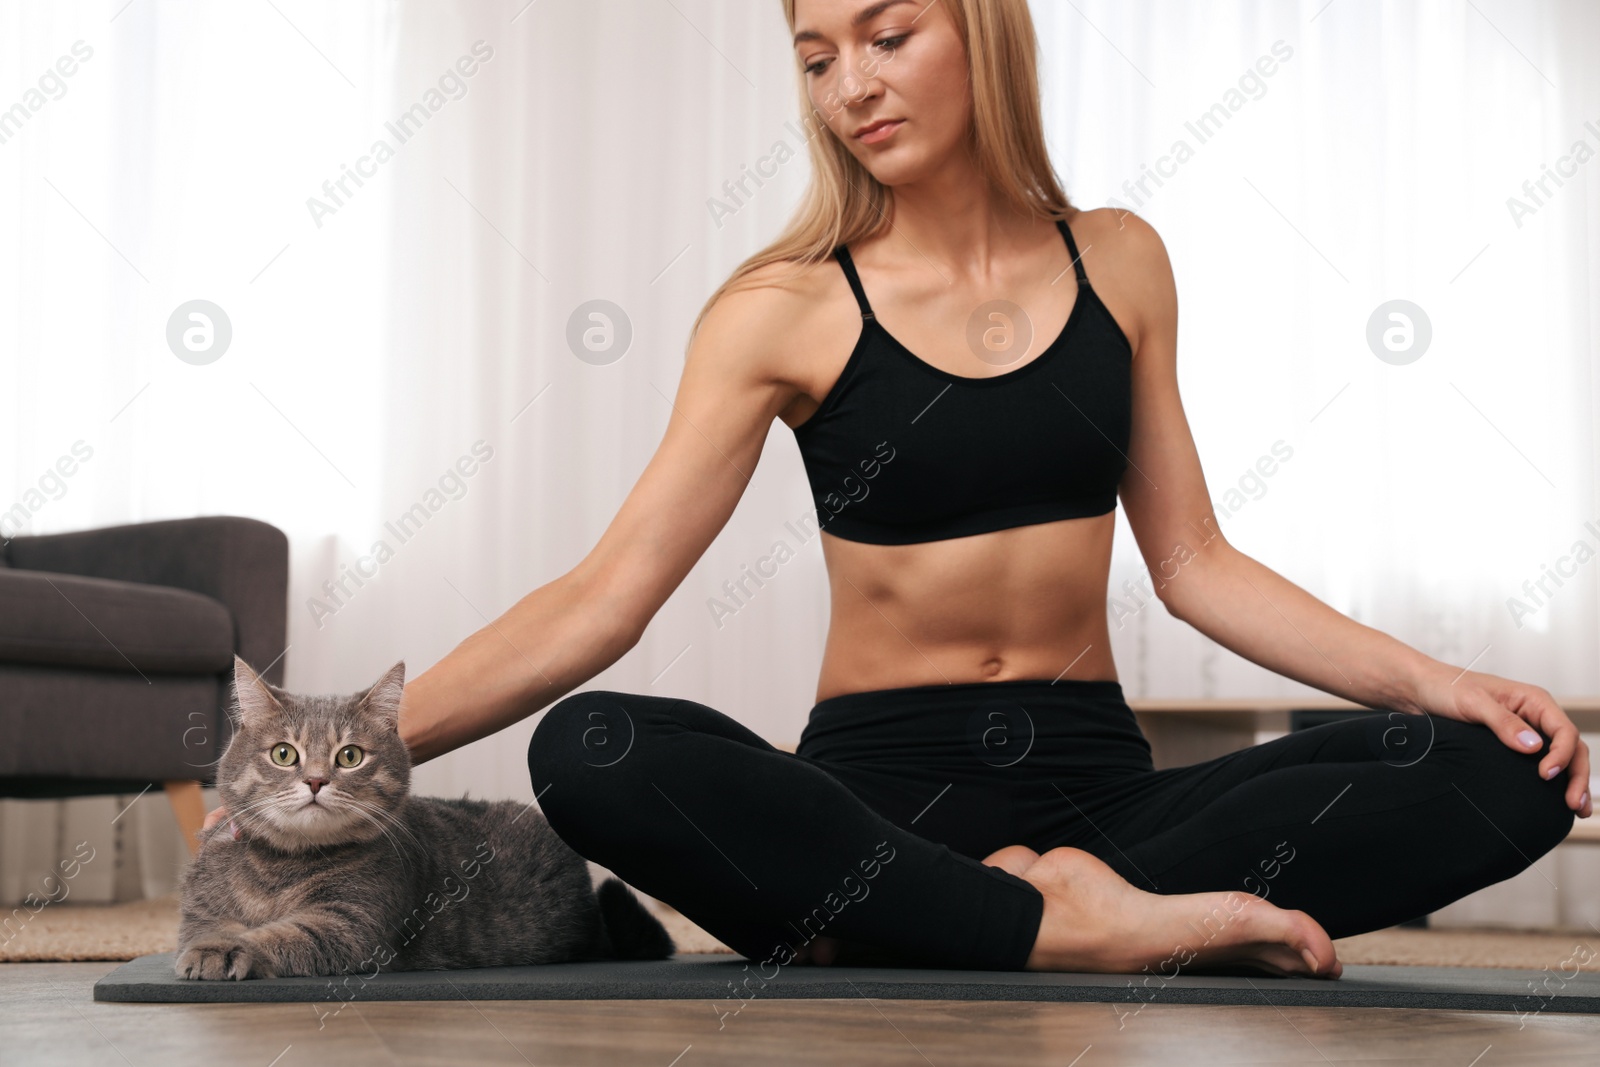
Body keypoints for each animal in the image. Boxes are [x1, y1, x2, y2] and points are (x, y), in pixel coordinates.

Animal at [175, 655, 675, 979]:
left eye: (350, 756)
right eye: (284, 753)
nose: (316, 781)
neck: (280, 868)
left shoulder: (350, 925)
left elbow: (279, 935)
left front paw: (229, 949)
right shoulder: (199, 911)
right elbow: (209, 925)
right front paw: (215, 944)